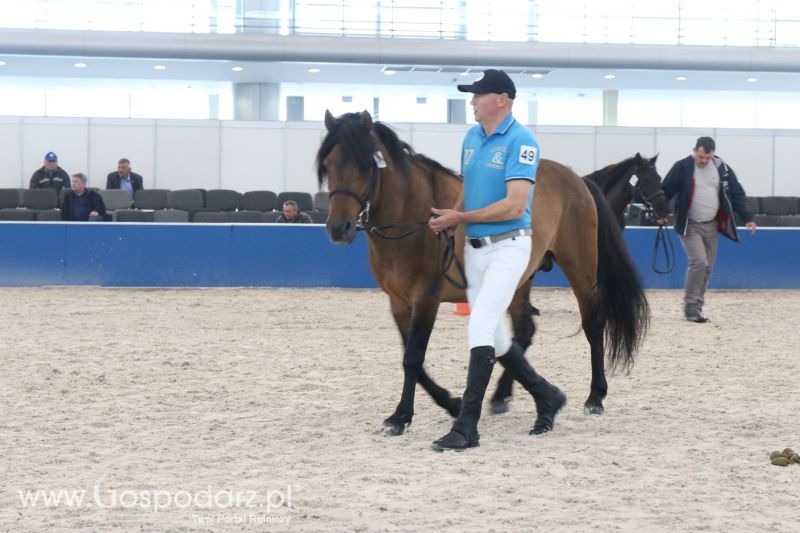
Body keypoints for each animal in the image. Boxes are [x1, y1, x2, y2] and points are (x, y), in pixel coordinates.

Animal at [316, 110, 648, 434]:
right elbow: (413, 361)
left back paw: (595, 397)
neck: (413, 219)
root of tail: (575, 178)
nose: (338, 229)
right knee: (523, 333)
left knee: (593, 325)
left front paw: (401, 417)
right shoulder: (398, 303)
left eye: (365, 164)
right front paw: (452, 404)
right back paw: (504, 396)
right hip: (520, 280)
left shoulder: (426, 299)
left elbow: (413, 358)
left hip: (580, 267)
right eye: (329, 164)